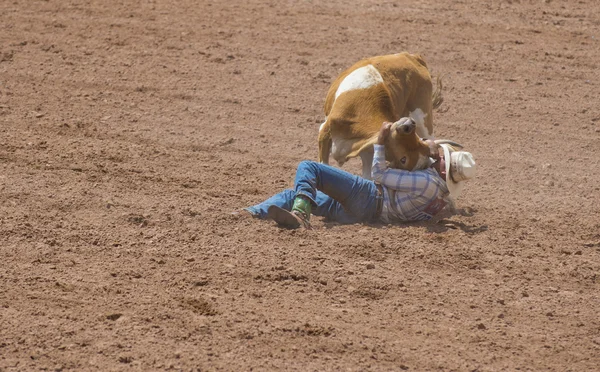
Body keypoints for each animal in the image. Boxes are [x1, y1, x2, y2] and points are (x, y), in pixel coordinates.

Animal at [318, 52, 460, 179]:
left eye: (403, 159)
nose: (409, 125)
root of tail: (413, 58)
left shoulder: (368, 149)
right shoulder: (325, 132)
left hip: (424, 118)